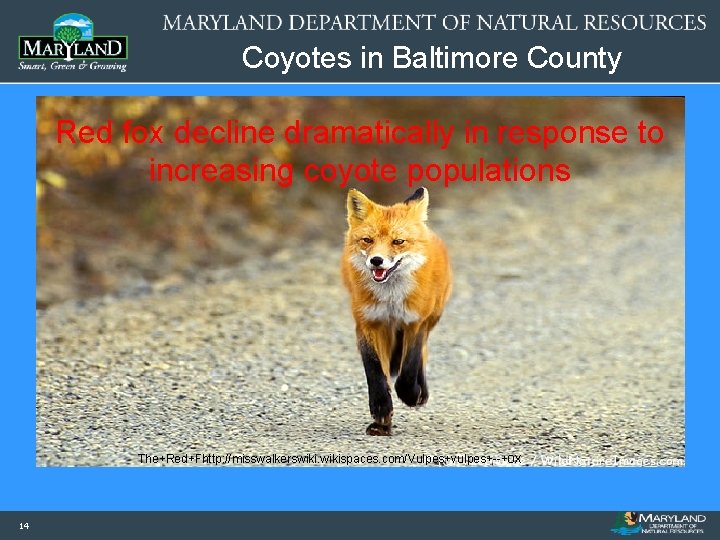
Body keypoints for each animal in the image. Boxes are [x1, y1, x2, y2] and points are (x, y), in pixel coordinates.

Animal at [341, 187, 452, 435]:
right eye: (367, 240)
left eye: (398, 241)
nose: (376, 260)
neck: (391, 299)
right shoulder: (367, 323)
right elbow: (374, 370)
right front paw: (381, 412)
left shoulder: (415, 321)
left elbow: (410, 365)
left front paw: (410, 394)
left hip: (431, 318)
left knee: (422, 354)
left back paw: (421, 392)